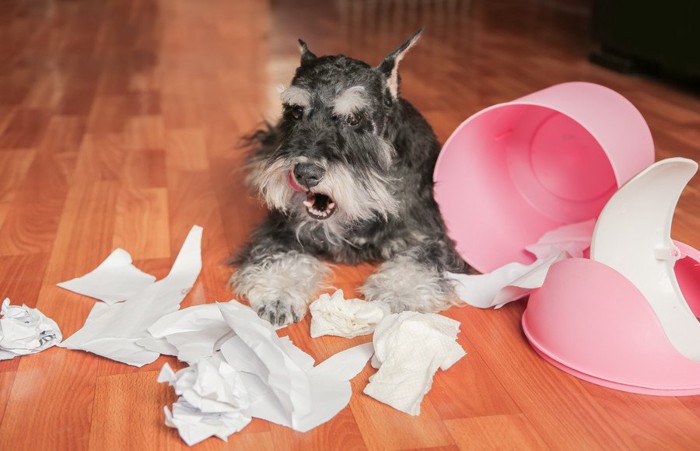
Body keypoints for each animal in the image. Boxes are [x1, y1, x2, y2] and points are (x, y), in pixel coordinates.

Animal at [232, 30, 468, 324]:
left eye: (354, 119)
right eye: (295, 112)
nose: (305, 173)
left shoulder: (429, 238)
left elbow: (417, 264)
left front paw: (398, 297)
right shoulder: (282, 230)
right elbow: (281, 256)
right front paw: (277, 294)